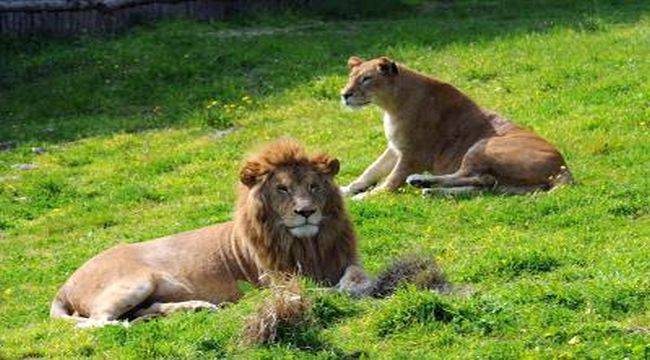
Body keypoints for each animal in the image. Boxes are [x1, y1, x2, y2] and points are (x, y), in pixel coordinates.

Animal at [50, 139, 370, 326]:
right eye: (282, 189)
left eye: (314, 186)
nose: (306, 211)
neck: (308, 244)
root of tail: (64, 285)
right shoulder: (276, 280)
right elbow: (310, 290)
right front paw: (335, 291)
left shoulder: (347, 258)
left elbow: (356, 275)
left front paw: (353, 284)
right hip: (136, 282)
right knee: (95, 322)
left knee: (139, 310)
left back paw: (196, 308)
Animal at [336, 55, 568, 200]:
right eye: (351, 78)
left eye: (366, 79)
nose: (344, 95)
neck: (391, 106)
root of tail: (563, 167)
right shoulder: (395, 148)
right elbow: (369, 171)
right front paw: (346, 189)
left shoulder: (414, 155)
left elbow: (390, 182)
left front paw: (365, 196)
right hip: (505, 182)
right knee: (484, 184)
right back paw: (428, 189)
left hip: (483, 145)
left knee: (476, 176)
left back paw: (421, 181)